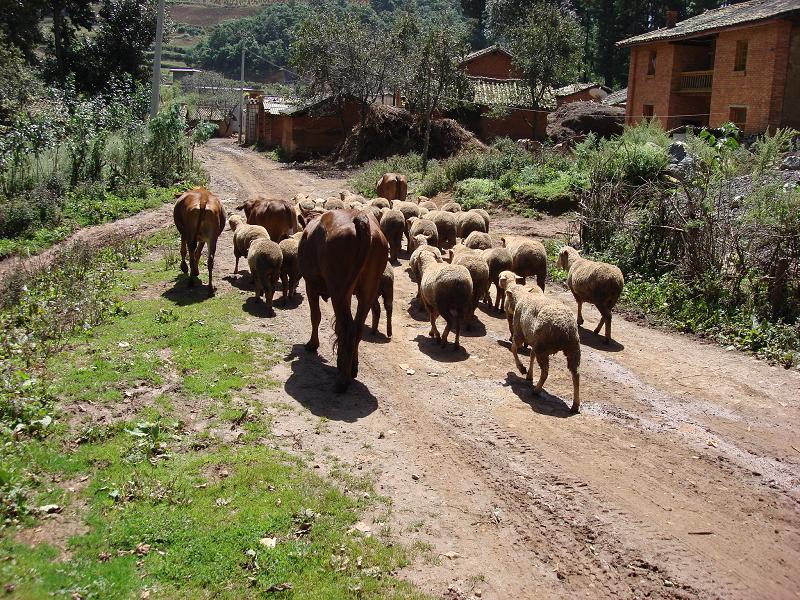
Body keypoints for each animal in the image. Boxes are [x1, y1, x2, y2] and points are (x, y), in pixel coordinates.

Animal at [298, 211, 390, 394]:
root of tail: (360, 219)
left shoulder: (310, 284)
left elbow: (315, 316)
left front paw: (312, 344)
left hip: (339, 289)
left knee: (348, 328)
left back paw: (342, 381)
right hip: (367, 290)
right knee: (356, 328)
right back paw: (351, 369)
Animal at [506, 282, 580, 412]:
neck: (522, 297)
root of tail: (564, 327)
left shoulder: (520, 333)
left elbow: (514, 349)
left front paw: (522, 368)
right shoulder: (535, 342)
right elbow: (531, 355)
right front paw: (529, 375)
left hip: (544, 348)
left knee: (545, 372)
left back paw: (536, 390)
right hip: (573, 347)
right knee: (576, 375)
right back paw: (575, 405)